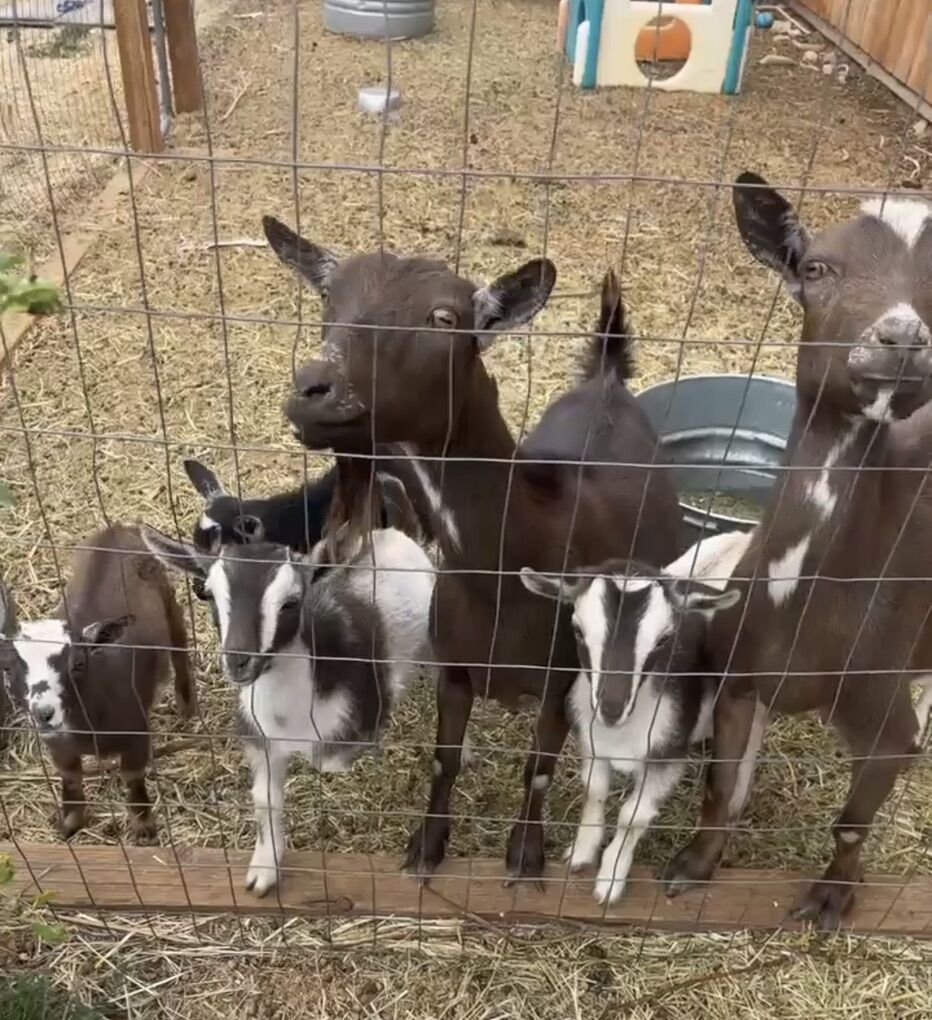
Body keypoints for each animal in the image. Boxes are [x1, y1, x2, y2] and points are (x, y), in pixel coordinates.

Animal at [9, 525, 195, 842]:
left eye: (77, 664)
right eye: (10, 668)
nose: (44, 713)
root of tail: (118, 528)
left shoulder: (136, 734)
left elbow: (132, 777)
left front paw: (144, 827)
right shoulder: (59, 746)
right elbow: (70, 778)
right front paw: (70, 823)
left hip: (167, 597)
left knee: (179, 644)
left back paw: (187, 704)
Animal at [142, 524, 435, 896]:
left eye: (291, 602)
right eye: (207, 594)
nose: (239, 661)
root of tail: (388, 532)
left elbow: (329, 763)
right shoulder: (260, 740)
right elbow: (264, 799)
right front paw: (264, 870)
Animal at [264, 210, 685, 881]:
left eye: (444, 318)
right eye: (329, 296)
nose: (313, 390)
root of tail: (607, 376)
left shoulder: (562, 676)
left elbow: (538, 768)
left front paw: (525, 857)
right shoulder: (456, 668)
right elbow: (446, 759)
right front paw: (425, 848)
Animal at [520, 528, 747, 905]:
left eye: (665, 640)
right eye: (577, 629)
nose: (611, 708)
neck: (621, 732)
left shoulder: (666, 756)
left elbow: (633, 817)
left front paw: (609, 881)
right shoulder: (592, 741)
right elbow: (595, 789)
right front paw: (582, 853)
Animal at [661, 172, 932, 928]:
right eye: (815, 268)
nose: (903, 337)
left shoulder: (880, 705)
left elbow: (854, 819)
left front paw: (833, 899)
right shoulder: (739, 672)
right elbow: (721, 786)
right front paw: (690, 869)